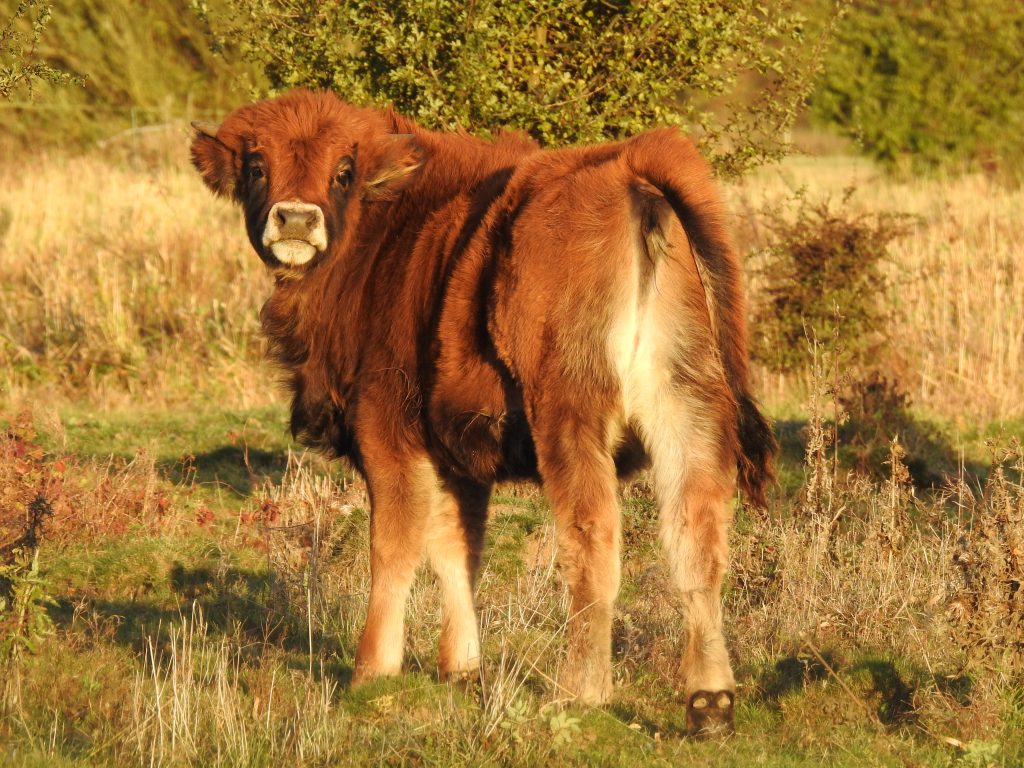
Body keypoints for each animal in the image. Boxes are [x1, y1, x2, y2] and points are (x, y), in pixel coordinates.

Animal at [192, 90, 774, 741]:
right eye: (256, 166)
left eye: (344, 170)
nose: (295, 219)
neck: (392, 230)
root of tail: (630, 167)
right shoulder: (457, 458)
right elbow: (457, 552)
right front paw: (462, 669)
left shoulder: (390, 438)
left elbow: (394, 547)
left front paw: (371, 672)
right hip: (688, 408)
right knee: (696, 536)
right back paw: (709, 703)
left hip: (570, 417)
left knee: (594, 535)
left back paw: (578, 693)